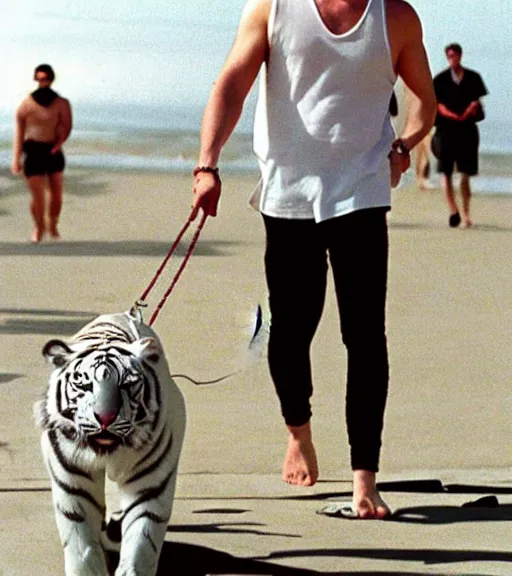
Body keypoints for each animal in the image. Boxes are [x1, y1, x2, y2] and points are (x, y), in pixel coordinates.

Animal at [34, 310, 186, 576]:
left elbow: (140, 541)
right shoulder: (74, 484)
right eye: (84, 385)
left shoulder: (150, 486)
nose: (105, 418)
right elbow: (82, 547)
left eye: (127, 384)